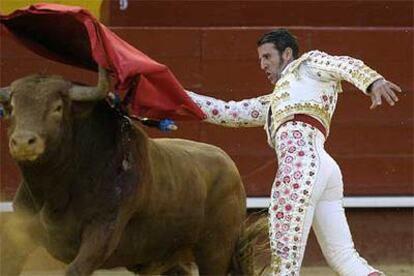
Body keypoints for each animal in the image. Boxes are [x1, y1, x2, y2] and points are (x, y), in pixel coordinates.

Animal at [0, 68, 266, 274]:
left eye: (57, 107)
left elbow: (74, 269)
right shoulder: (20, 230)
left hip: (216, 250)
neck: (55, 189)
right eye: (11, 107)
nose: (23, 142)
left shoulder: (102, 233)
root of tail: (228, 162)